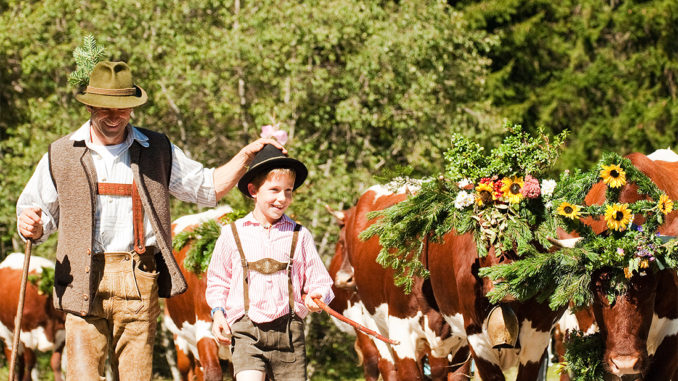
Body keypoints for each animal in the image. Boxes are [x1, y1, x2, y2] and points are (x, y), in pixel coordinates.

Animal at [0, 252, 65, 380]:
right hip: (6, 334)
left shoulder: (61, 335)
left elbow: (56, 363)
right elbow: (30, 363)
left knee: (19, 361)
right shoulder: (26, 334)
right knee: (14, 361)